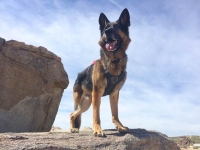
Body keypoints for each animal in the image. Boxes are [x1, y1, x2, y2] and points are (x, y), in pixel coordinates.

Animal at [70, 8, 131, 137]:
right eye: (105, 28)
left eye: (117, 27)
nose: (107, 32)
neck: (113, 61)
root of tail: (79, 75)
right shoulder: (97, 94)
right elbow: (96, 115)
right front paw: (97, 129)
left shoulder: (114, 94)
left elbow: (115, 113)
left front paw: (120, 126)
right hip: (85, 101)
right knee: (73, 113)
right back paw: (73, 128)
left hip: (86, 103)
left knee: (74, 114)